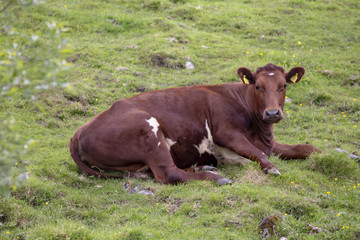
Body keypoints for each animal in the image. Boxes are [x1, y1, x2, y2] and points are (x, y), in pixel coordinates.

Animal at [70, 62, 320, 186]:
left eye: (283, 86)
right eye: (258, 86)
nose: (272, 112)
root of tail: (80, 130)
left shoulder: (268, 142)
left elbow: (306, 148)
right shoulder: (227, 133)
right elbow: (258, 154)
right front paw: (272, 168)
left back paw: (205, 168)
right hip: (148, 131)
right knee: (169, 174)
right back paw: (216, 177)